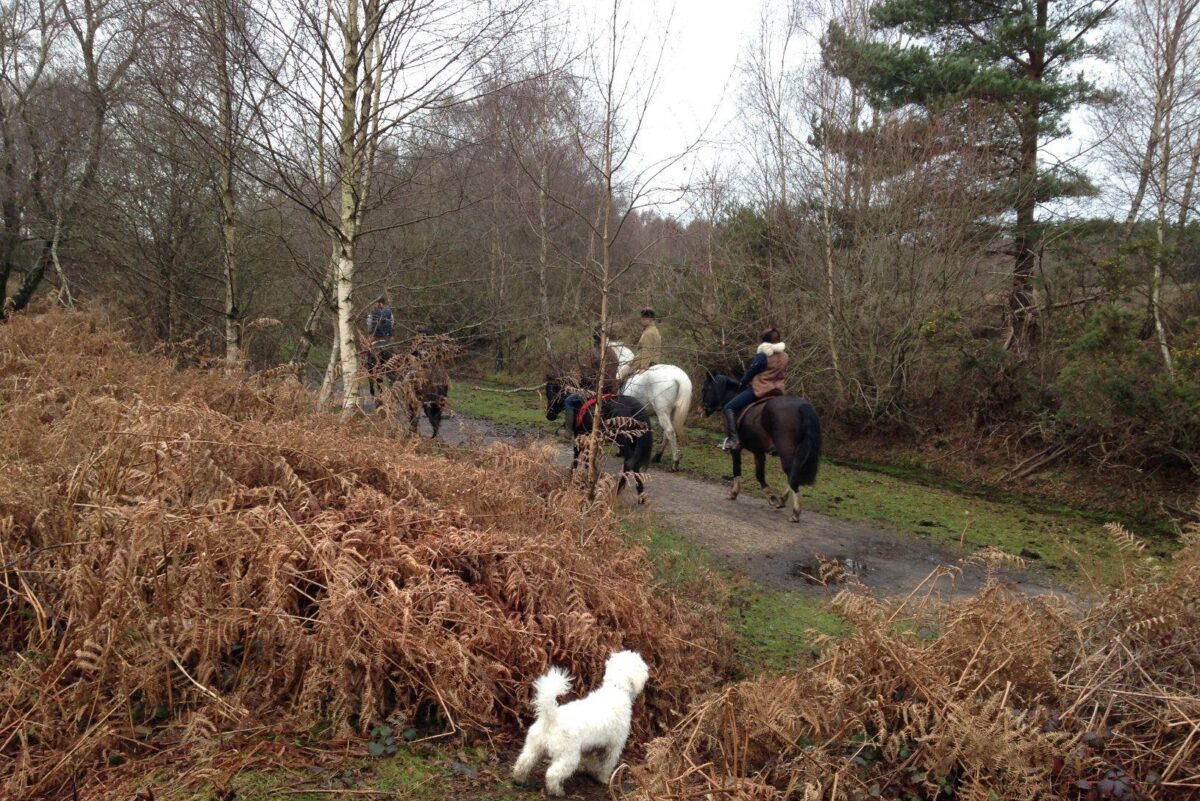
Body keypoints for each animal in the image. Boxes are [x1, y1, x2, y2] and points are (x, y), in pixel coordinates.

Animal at [511, 652, 652, 796]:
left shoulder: (591, 746)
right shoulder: (613, 746)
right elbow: (606, 765)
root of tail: (552, 717)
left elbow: (589, 760)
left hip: (534, 747)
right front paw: (603, 779)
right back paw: (557, 791)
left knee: (523, 762)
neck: (616, 687)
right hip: (568, 756)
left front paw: (585, 770)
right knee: (552, 774)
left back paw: (519, 780)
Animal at [700, 371, 820, 522]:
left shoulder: (737, 448)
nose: (701, 410)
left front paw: (733, 493)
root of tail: (801, 405)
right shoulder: (758, 451)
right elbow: (759, 475)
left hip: (786, 450)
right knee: (792, 472)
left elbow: (737, 470)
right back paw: (782, 500)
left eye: (705, 388)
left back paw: (795, 512)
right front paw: (771, 496)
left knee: (791, 473)